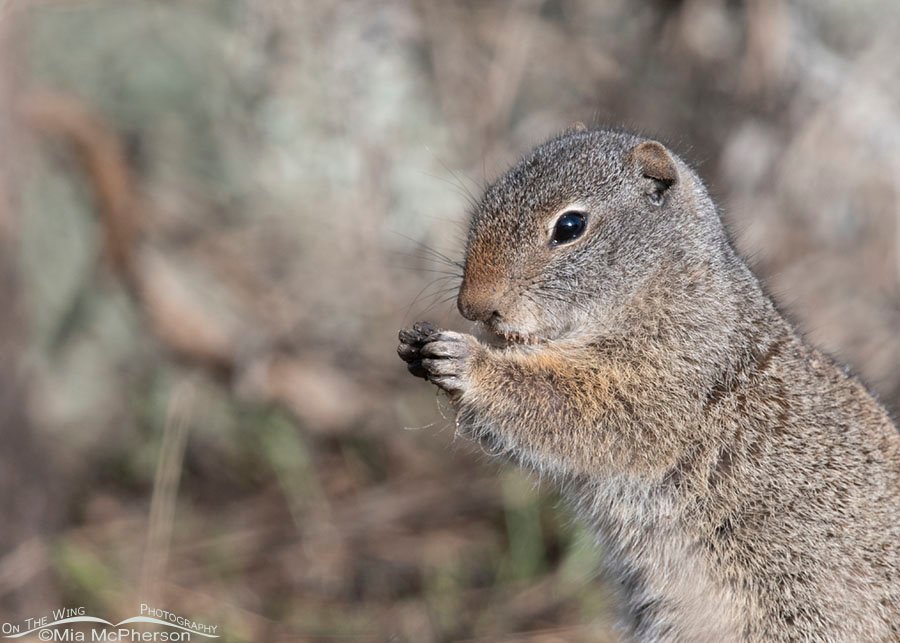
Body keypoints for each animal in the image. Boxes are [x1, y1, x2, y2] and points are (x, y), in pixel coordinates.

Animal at [397, 128, 900, 642]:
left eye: (570, 226)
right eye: (486, 203)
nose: (473, 306)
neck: (662, 286)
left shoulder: (672, 371)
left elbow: (580, 409)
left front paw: (467, 362)